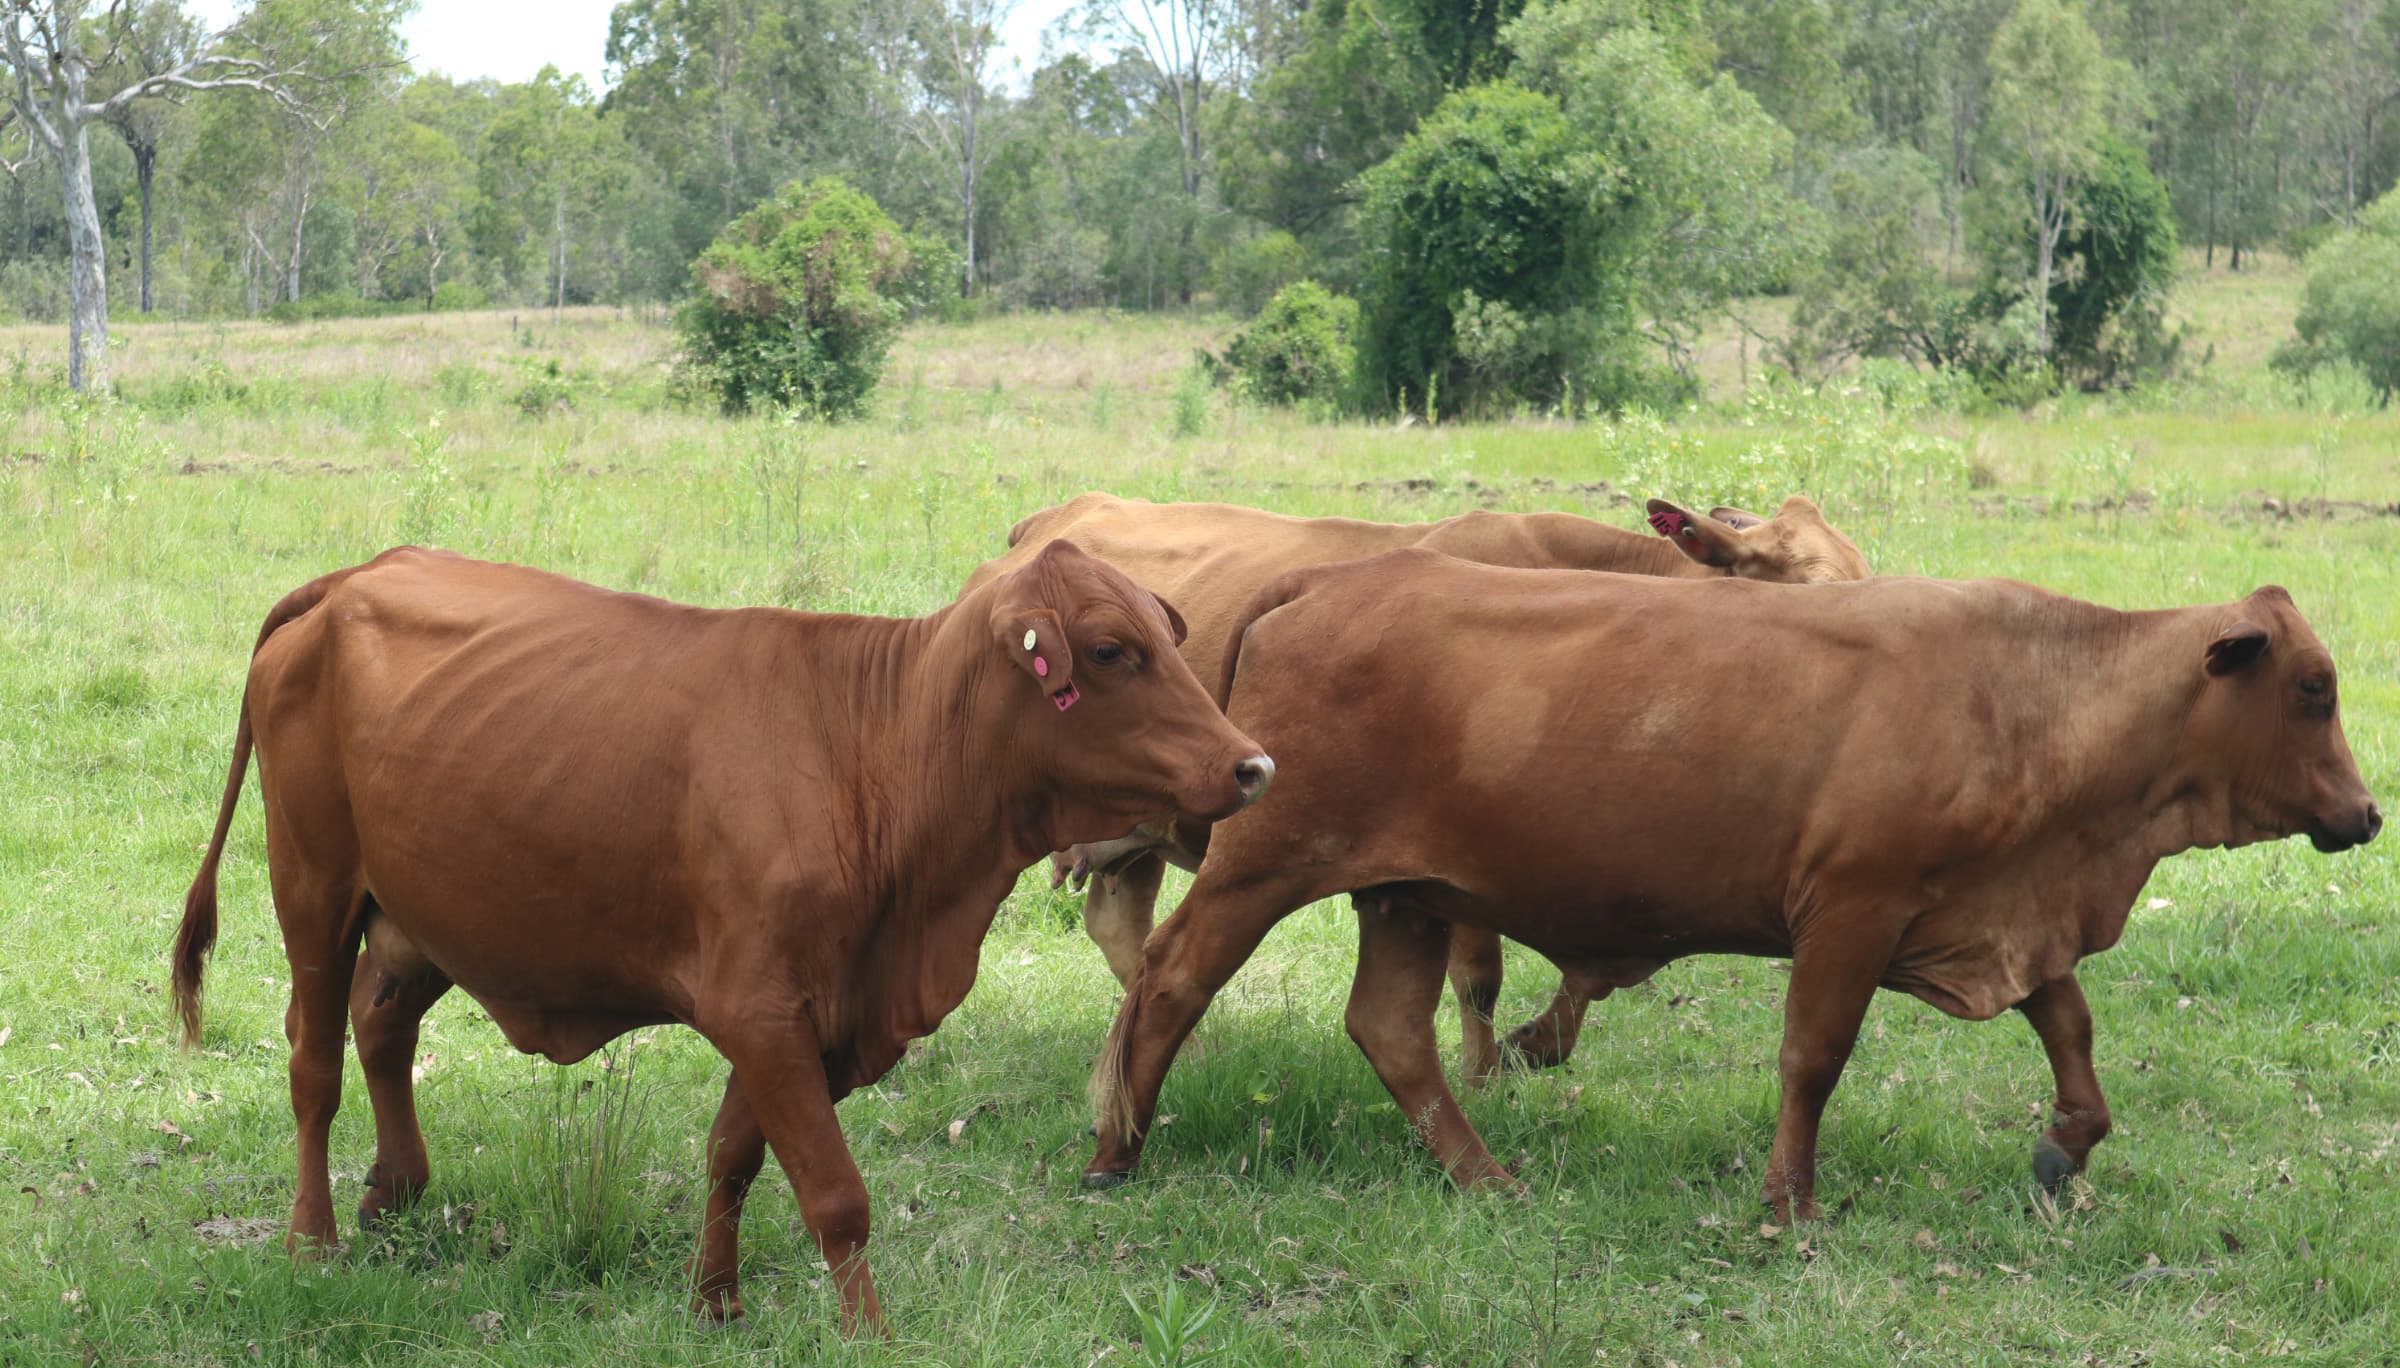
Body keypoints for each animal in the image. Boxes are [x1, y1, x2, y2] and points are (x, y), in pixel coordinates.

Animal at [171, 543, 1273, 1335]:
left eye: (1168, 634)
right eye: (1111, 649)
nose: (1252, 765)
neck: (875, 753)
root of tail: (350, 577)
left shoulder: (817, 1019)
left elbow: (733, 1156)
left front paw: (716, 1302)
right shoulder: (762, 1008)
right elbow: (834, 1194)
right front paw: (867, 1335)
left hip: (424, 913)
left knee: (381, 1023)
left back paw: (394, 1191)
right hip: (312, 886)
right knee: (314, 1061)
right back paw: (313, 1240)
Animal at [961, 491, 1872, 1080]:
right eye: (1822, 591)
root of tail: (1045, 526)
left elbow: (1596, 969)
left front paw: (1533, 1048)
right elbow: (1486, 975)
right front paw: (1484, 1073)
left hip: (1144, 832)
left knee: (1120, 924)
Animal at [1081, 551, 2380, 1223]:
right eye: (2312, 687)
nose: (2366, 816)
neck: (2027, 692)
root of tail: (1332, 578)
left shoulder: (1991, 915)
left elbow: (2068, 1021)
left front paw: (2070, 1143)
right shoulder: (1855, 909)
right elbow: (1814, 1058)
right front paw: (1790, 1201)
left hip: (1406, 894)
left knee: (1392, 1032)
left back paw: (1486, 1174)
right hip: (1264, 867)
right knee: (1169, 982)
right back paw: (1116, 1149)